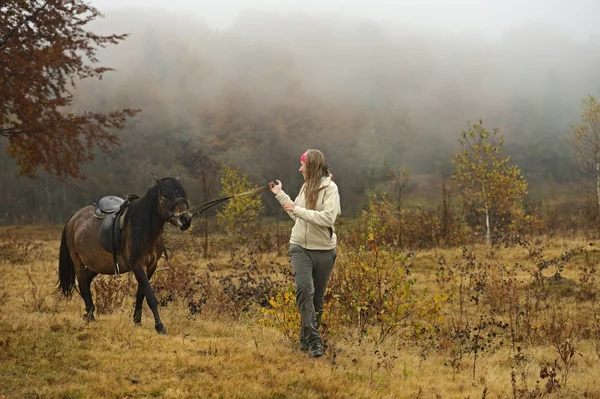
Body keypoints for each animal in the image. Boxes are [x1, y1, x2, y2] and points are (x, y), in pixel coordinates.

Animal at [57, 175, 191, 334]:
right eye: (165, 195)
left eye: (183, 193)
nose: (185, 220)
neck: (143, 228)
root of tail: (73, 218)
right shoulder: (137, 265)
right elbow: (151, 297)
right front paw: (159, 327)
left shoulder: (151, 266)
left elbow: (141, 293)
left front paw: (137, 321)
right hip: (77, 259)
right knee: (83, 284)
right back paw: (91, 317)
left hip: (98, 264)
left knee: (87, 282)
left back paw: (88, 314)